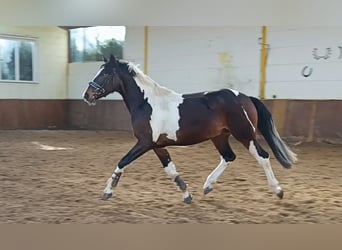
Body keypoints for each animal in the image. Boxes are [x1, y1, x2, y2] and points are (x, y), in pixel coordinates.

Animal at [83, 54, 296, 203]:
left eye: (105, 73)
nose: (87, 95)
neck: (147, 103)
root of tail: (245, 97)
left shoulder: (144, 142)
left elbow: (122, 162)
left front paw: (107, 191)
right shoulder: (157, 145)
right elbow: (170, 170)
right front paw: (186, 194)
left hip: (245, 134)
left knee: (263, 157)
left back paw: (278, 191)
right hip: (220, 136)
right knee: (229, 157)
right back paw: (207, 186)